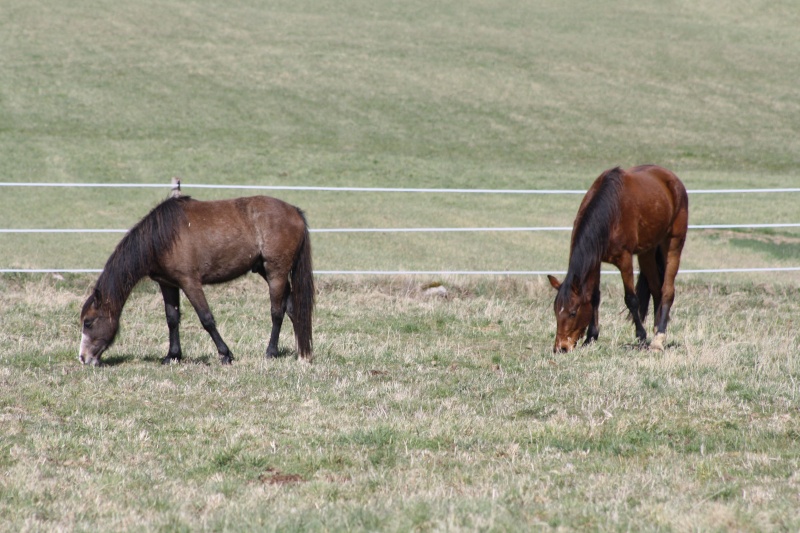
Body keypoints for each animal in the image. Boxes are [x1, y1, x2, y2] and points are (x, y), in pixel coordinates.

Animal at [78, 195, 314, 366]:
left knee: (277, 312)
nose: (83, 358)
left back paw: (271, 352)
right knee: (293, 308)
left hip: (276, 272)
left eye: (88, 322)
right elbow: (172, 319)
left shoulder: (190, 282)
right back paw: (303, 353)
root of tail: (295, 211)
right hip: (265, 270)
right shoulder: (168, 284)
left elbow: (206, 318)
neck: (161, 237)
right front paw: (172, 356)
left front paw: (225, 355)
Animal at [548, 164, 692, 352]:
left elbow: (631, 299)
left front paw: (641, 336)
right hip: (647, 252)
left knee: (667, 290)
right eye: (556, 310)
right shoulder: (596, 261)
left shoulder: (624, 259)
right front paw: (591, 337)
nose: (561, 348)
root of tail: (673, 180)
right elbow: (594, 296)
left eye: (573, 312)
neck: (610, 212)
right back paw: (656, 330)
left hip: (674, 244)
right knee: (656, 289)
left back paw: (658, 338)